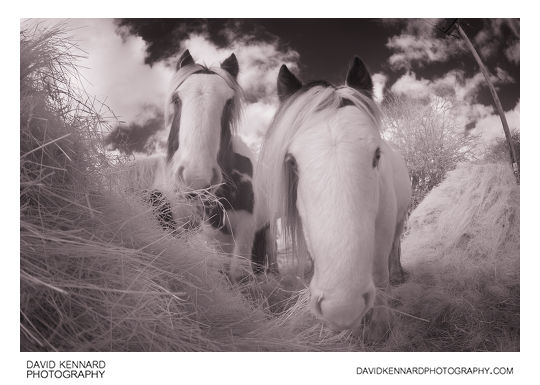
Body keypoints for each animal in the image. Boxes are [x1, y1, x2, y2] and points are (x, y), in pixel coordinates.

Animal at [255, 57, 412, 336]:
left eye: (377, 154)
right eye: (292, 162)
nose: (342, 307)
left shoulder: (383, 227)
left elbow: (380, 274)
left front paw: (380, 325)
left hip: (399, 219)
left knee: (395, 247)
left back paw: (398, 274)